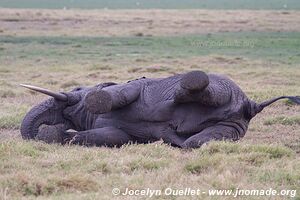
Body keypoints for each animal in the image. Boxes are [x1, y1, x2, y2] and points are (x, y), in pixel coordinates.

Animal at [19, 70, 298, 148]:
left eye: (76, 88)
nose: (40, 129)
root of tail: (250, 106)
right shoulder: (117, 133)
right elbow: (115, 137)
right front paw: (60, 135)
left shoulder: (131, 87)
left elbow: (121, 94)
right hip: (232, 126)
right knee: (197, 141)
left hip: (226, 87)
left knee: (200, 88)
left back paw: (184, 86)